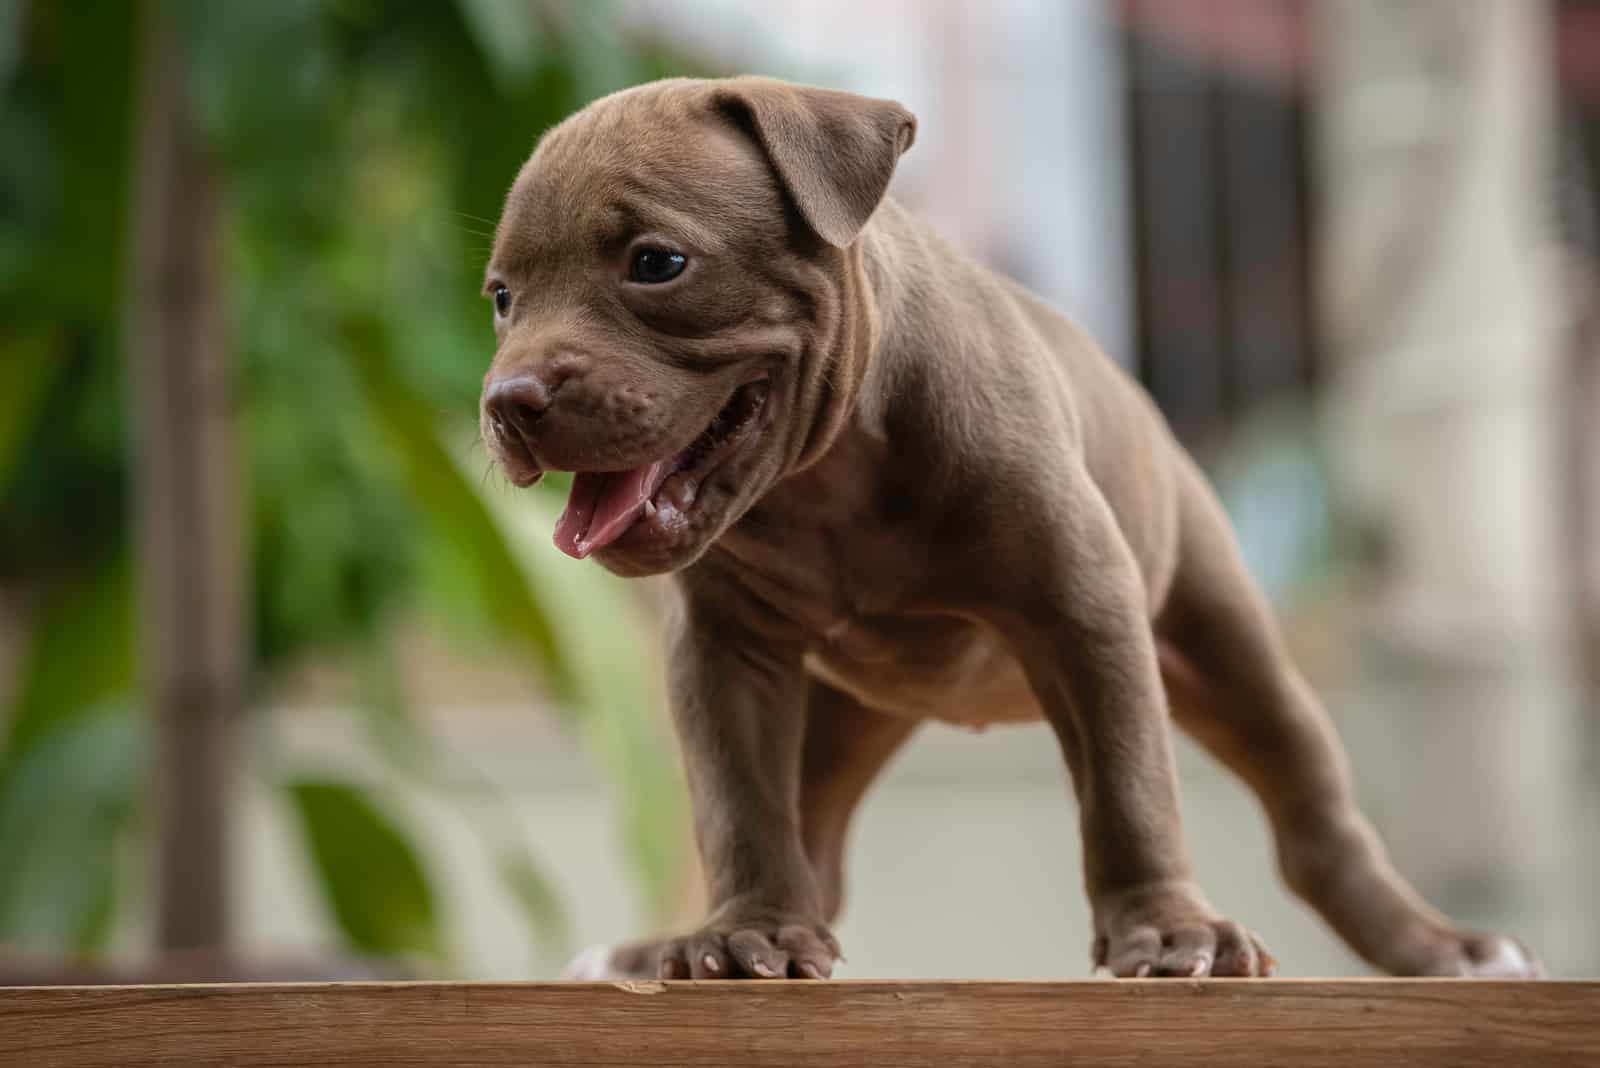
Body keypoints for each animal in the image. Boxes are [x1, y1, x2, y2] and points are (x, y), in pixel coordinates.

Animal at [480, 73, 1542, 978]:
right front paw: (750, 934)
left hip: (1228, 641)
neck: (828, 479)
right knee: (811, 840)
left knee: (1314, 814)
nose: (506, 401)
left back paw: (1441, 949)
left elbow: (1129, 786)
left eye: (657, 264)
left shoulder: (1084, 605)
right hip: (839, 715)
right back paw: (690, 941)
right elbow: (740, 803)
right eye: (501, 297)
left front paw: (1169, 931)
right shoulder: (725, 652)